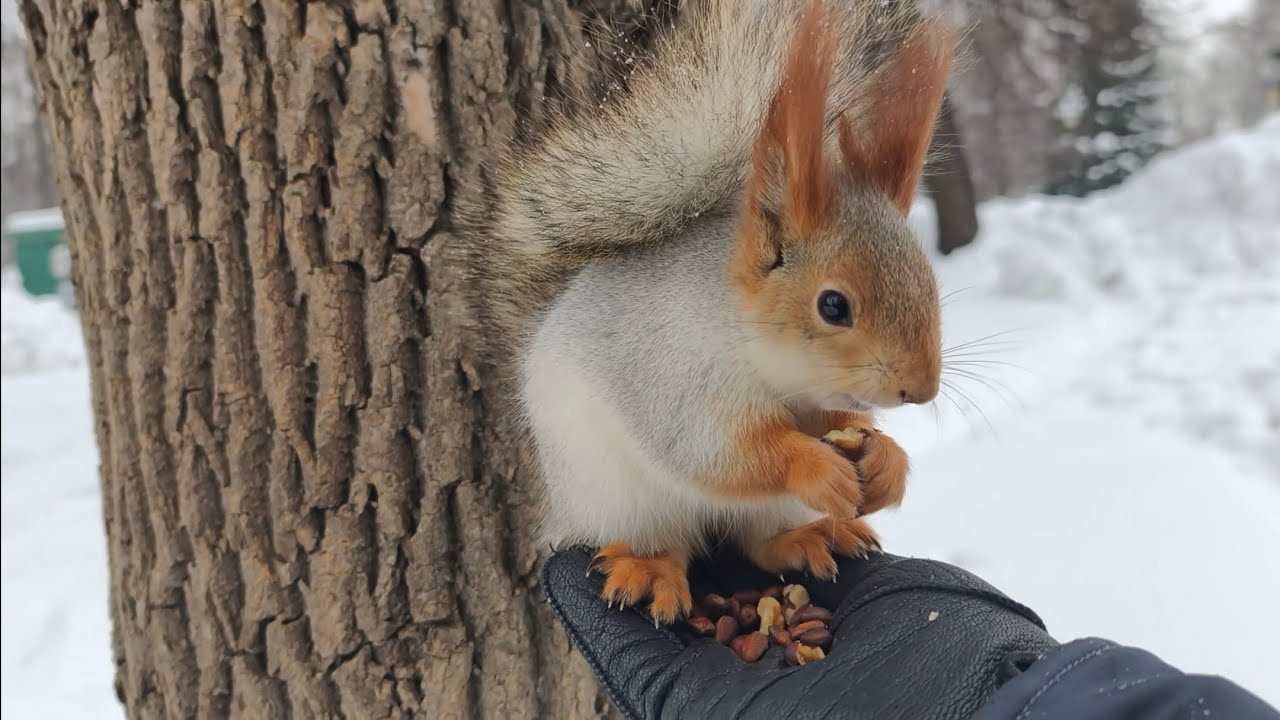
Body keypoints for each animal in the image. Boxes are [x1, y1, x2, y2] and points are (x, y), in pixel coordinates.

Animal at [460, 0, 954, 624]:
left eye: (929, 284)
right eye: (833, 305)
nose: (922, 389)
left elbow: (842, 426)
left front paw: (887, 460)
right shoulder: (673, 374)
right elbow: (716, 453)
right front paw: (814, 465)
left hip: (769, 510)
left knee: (759, 540)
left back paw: (812, 536)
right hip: (619, 499)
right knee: (666, 541)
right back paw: (648, 569)